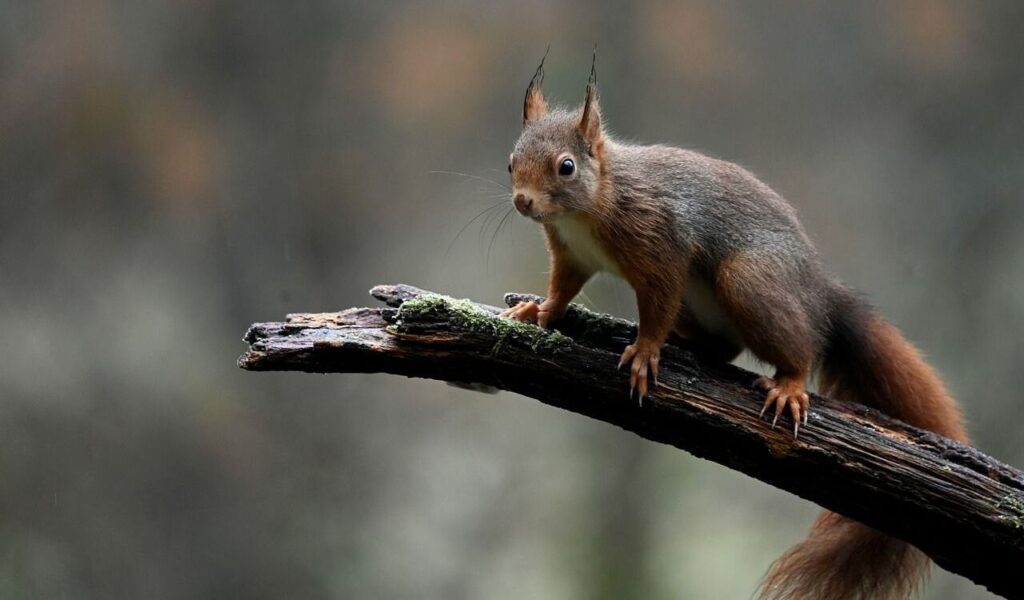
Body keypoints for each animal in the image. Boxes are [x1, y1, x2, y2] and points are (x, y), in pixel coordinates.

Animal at [500, 53, 969, 600]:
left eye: (566, 167)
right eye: (510, 161)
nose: (523, 202)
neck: (592, 205)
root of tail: (818, 293)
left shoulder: (660, 245)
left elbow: (656, 303)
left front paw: (646, 350)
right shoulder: (571, 253)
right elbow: (563, 288)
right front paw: (538, 312)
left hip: (749, 282)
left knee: (800, 346)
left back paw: (788, 383)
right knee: (723, 347)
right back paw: (690, 343)